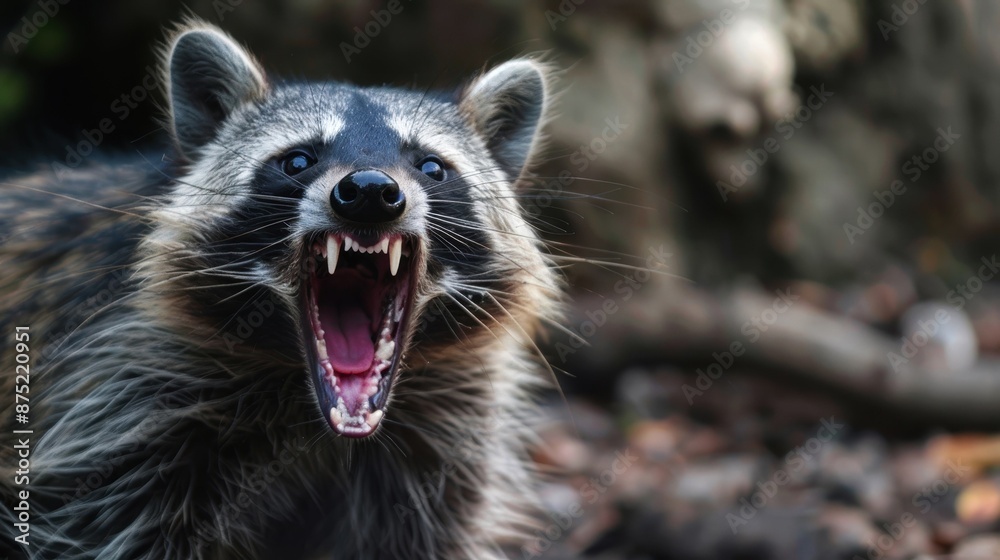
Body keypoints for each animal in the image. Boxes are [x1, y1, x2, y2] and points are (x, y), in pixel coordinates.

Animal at [0, 21, 561, 560]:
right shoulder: (123, 402)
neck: (307, 402)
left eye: (431, 167)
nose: (371, 192)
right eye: (297, 161)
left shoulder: (445, 440)